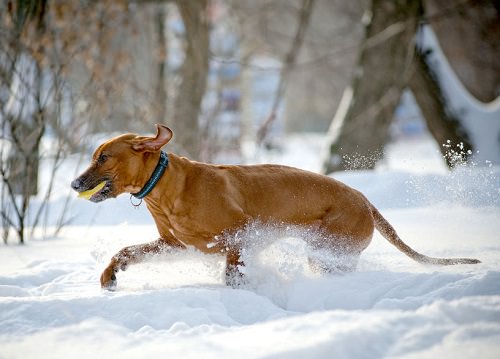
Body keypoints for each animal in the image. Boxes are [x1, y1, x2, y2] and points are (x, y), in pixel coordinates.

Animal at [71, 125, 480, 292]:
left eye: (103, 157)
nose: (74, 184)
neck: (168, 186)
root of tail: (364, 199)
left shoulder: (240, 232)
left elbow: (234, 265)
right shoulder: (175, 245)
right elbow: (126, 251)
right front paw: (110, 276)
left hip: (332, 250)